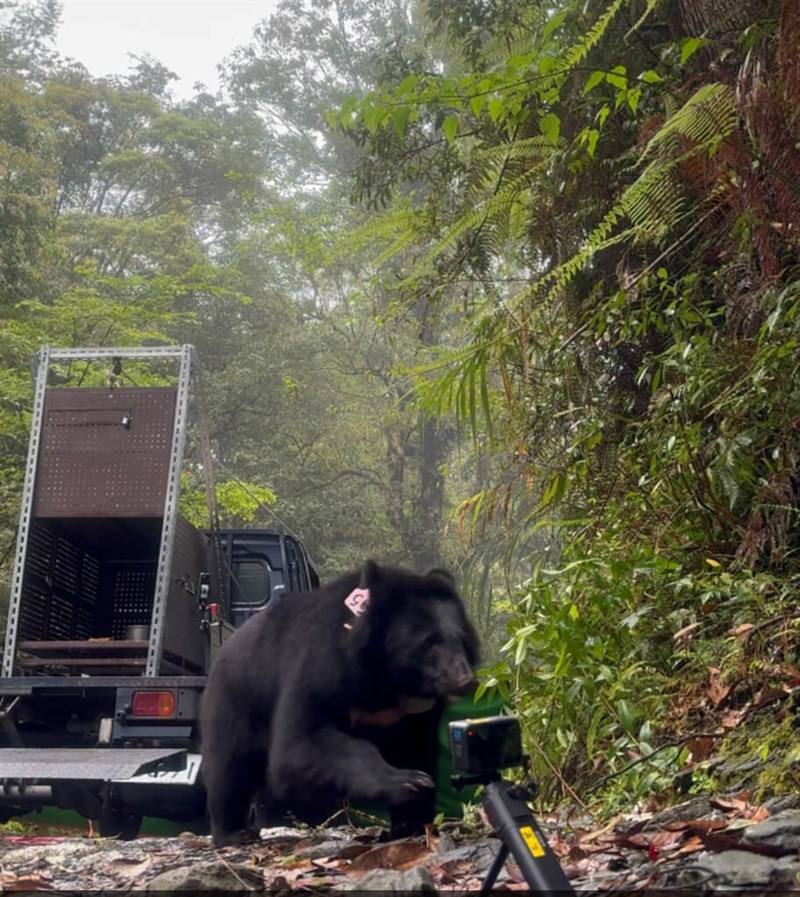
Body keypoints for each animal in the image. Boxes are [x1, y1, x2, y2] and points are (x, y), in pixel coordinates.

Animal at [199, 560, 479, 847]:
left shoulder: (415, 715)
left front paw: (411, 819)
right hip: (237, 698)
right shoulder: (323, 667)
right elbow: (300, 746)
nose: (465, 680)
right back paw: (234, 833)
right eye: (428, 642)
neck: (390, 684)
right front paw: (407, 782)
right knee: (229, 765)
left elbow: (417, 749)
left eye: (462, 639)